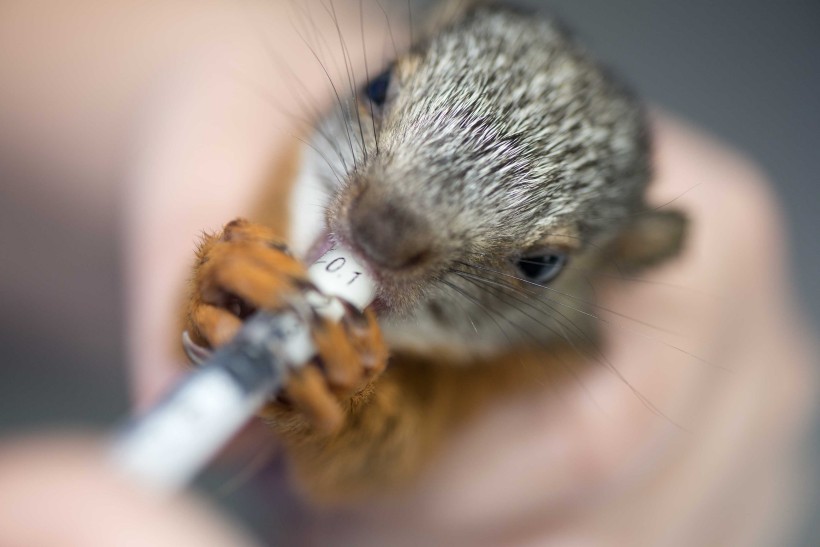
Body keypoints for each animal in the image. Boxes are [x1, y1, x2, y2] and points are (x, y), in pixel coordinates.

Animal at [181, 1, 684, 506]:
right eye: (378, 85)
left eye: (543, 265)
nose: (381, 230)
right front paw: (233, 270)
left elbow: (367, 465)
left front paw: (339, 368)